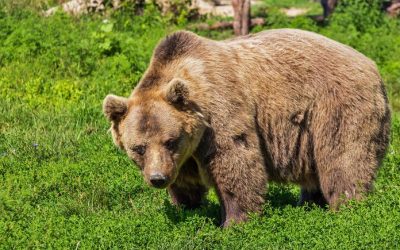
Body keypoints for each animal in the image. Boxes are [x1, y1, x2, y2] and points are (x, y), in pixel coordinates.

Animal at [102, 28, 390, 227]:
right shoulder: (184, 154)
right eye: (138, 148)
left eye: (170, 140)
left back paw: (347, 207)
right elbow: (185, 181)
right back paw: (309, 202)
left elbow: (235, 162)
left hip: (336, 107)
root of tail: (373, 66)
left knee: (343, 160)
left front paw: (234, 222)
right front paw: (187, 207)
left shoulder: (220, 112)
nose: (157, 178)